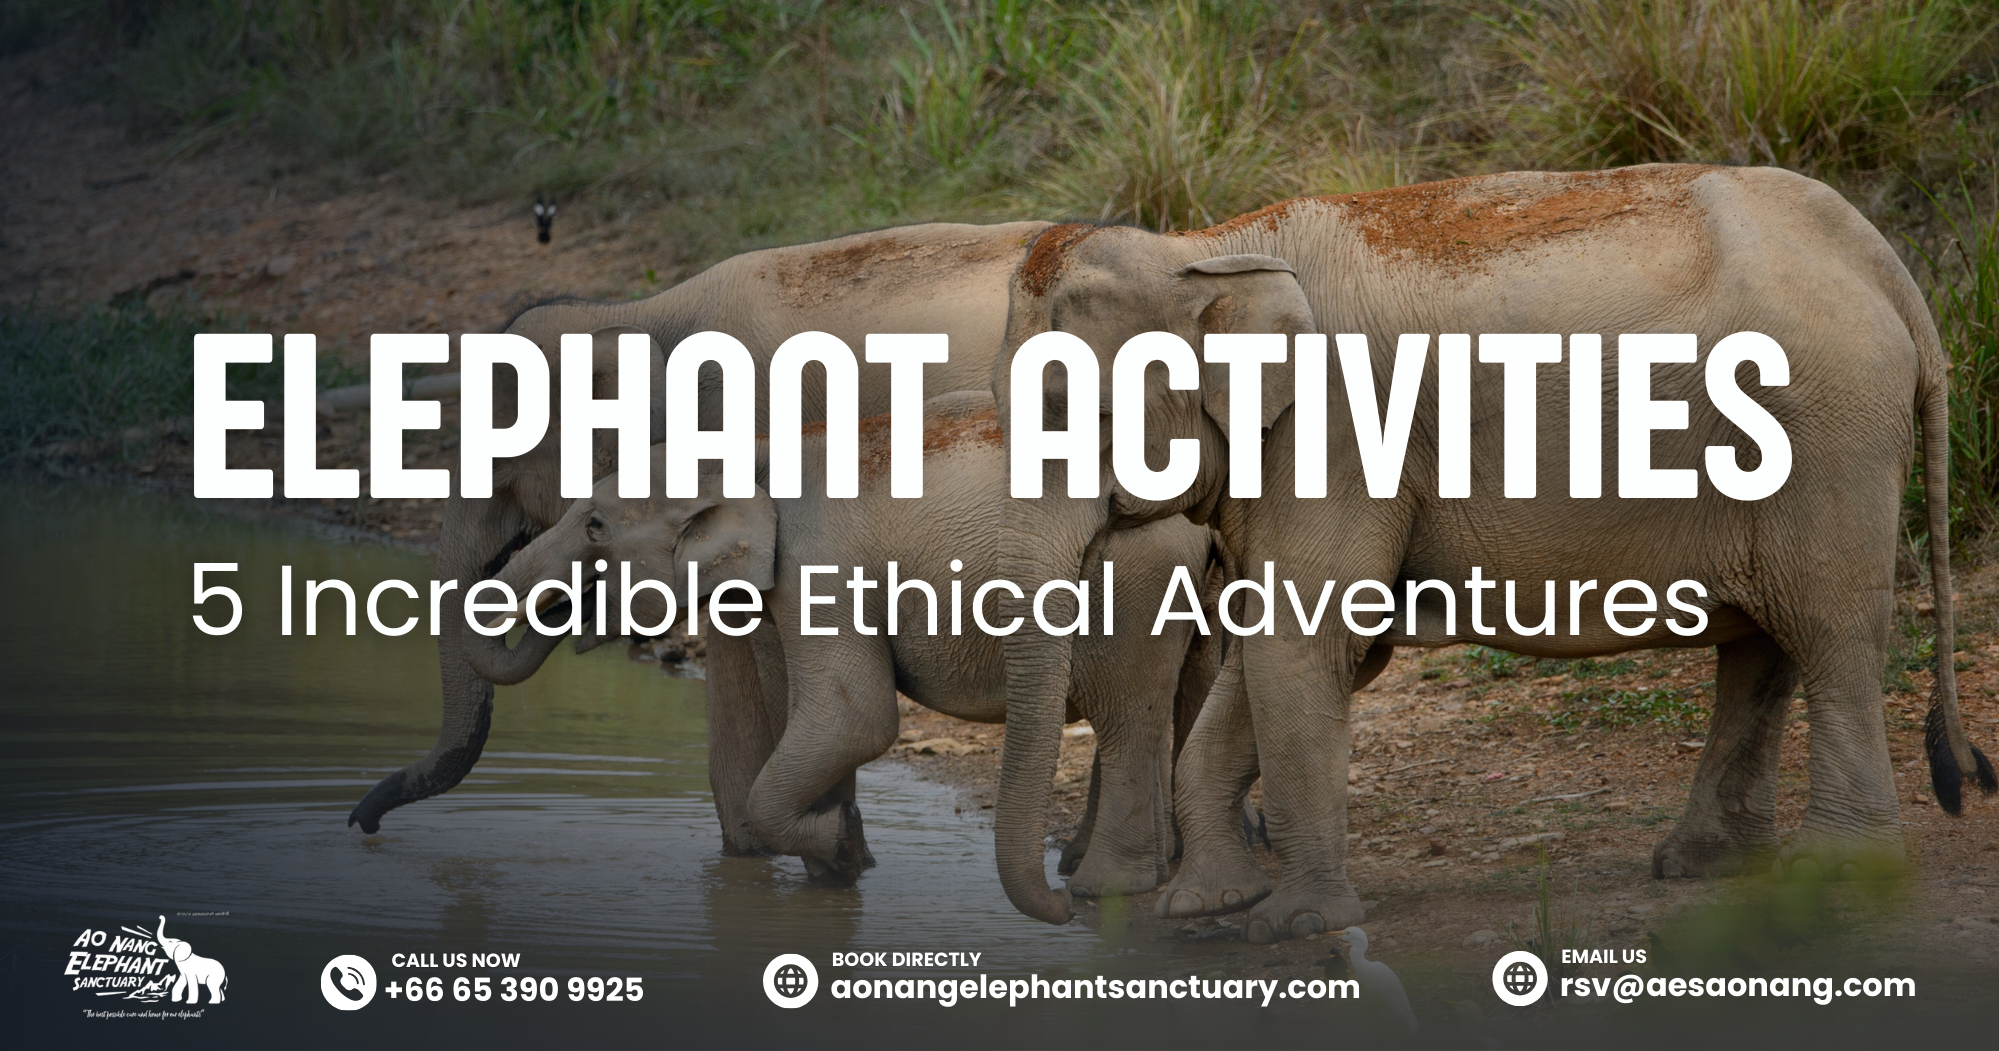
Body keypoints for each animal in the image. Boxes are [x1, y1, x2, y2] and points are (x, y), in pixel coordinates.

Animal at [475, 391, 1220, 900]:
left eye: (595, 526)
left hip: (1136, 576)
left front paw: (839, 844)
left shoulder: (818, 558)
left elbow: (851, 716)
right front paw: (840, 863)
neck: (749, 447)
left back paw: (1100, 891)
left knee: (1125, 716)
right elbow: (817, 716)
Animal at [985, 163, 1990, 939]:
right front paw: (1205, 908)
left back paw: (1840, 876)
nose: (1068, 907)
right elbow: (1295, 647)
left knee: (1828, 634)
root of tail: (1885, 266)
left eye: (1076, 412)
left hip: (1827, 431)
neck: (1206, 245)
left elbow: (1303, 643)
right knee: (1762, 644)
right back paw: (1700, 865)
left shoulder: (1336, 436)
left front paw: (1293, 924)